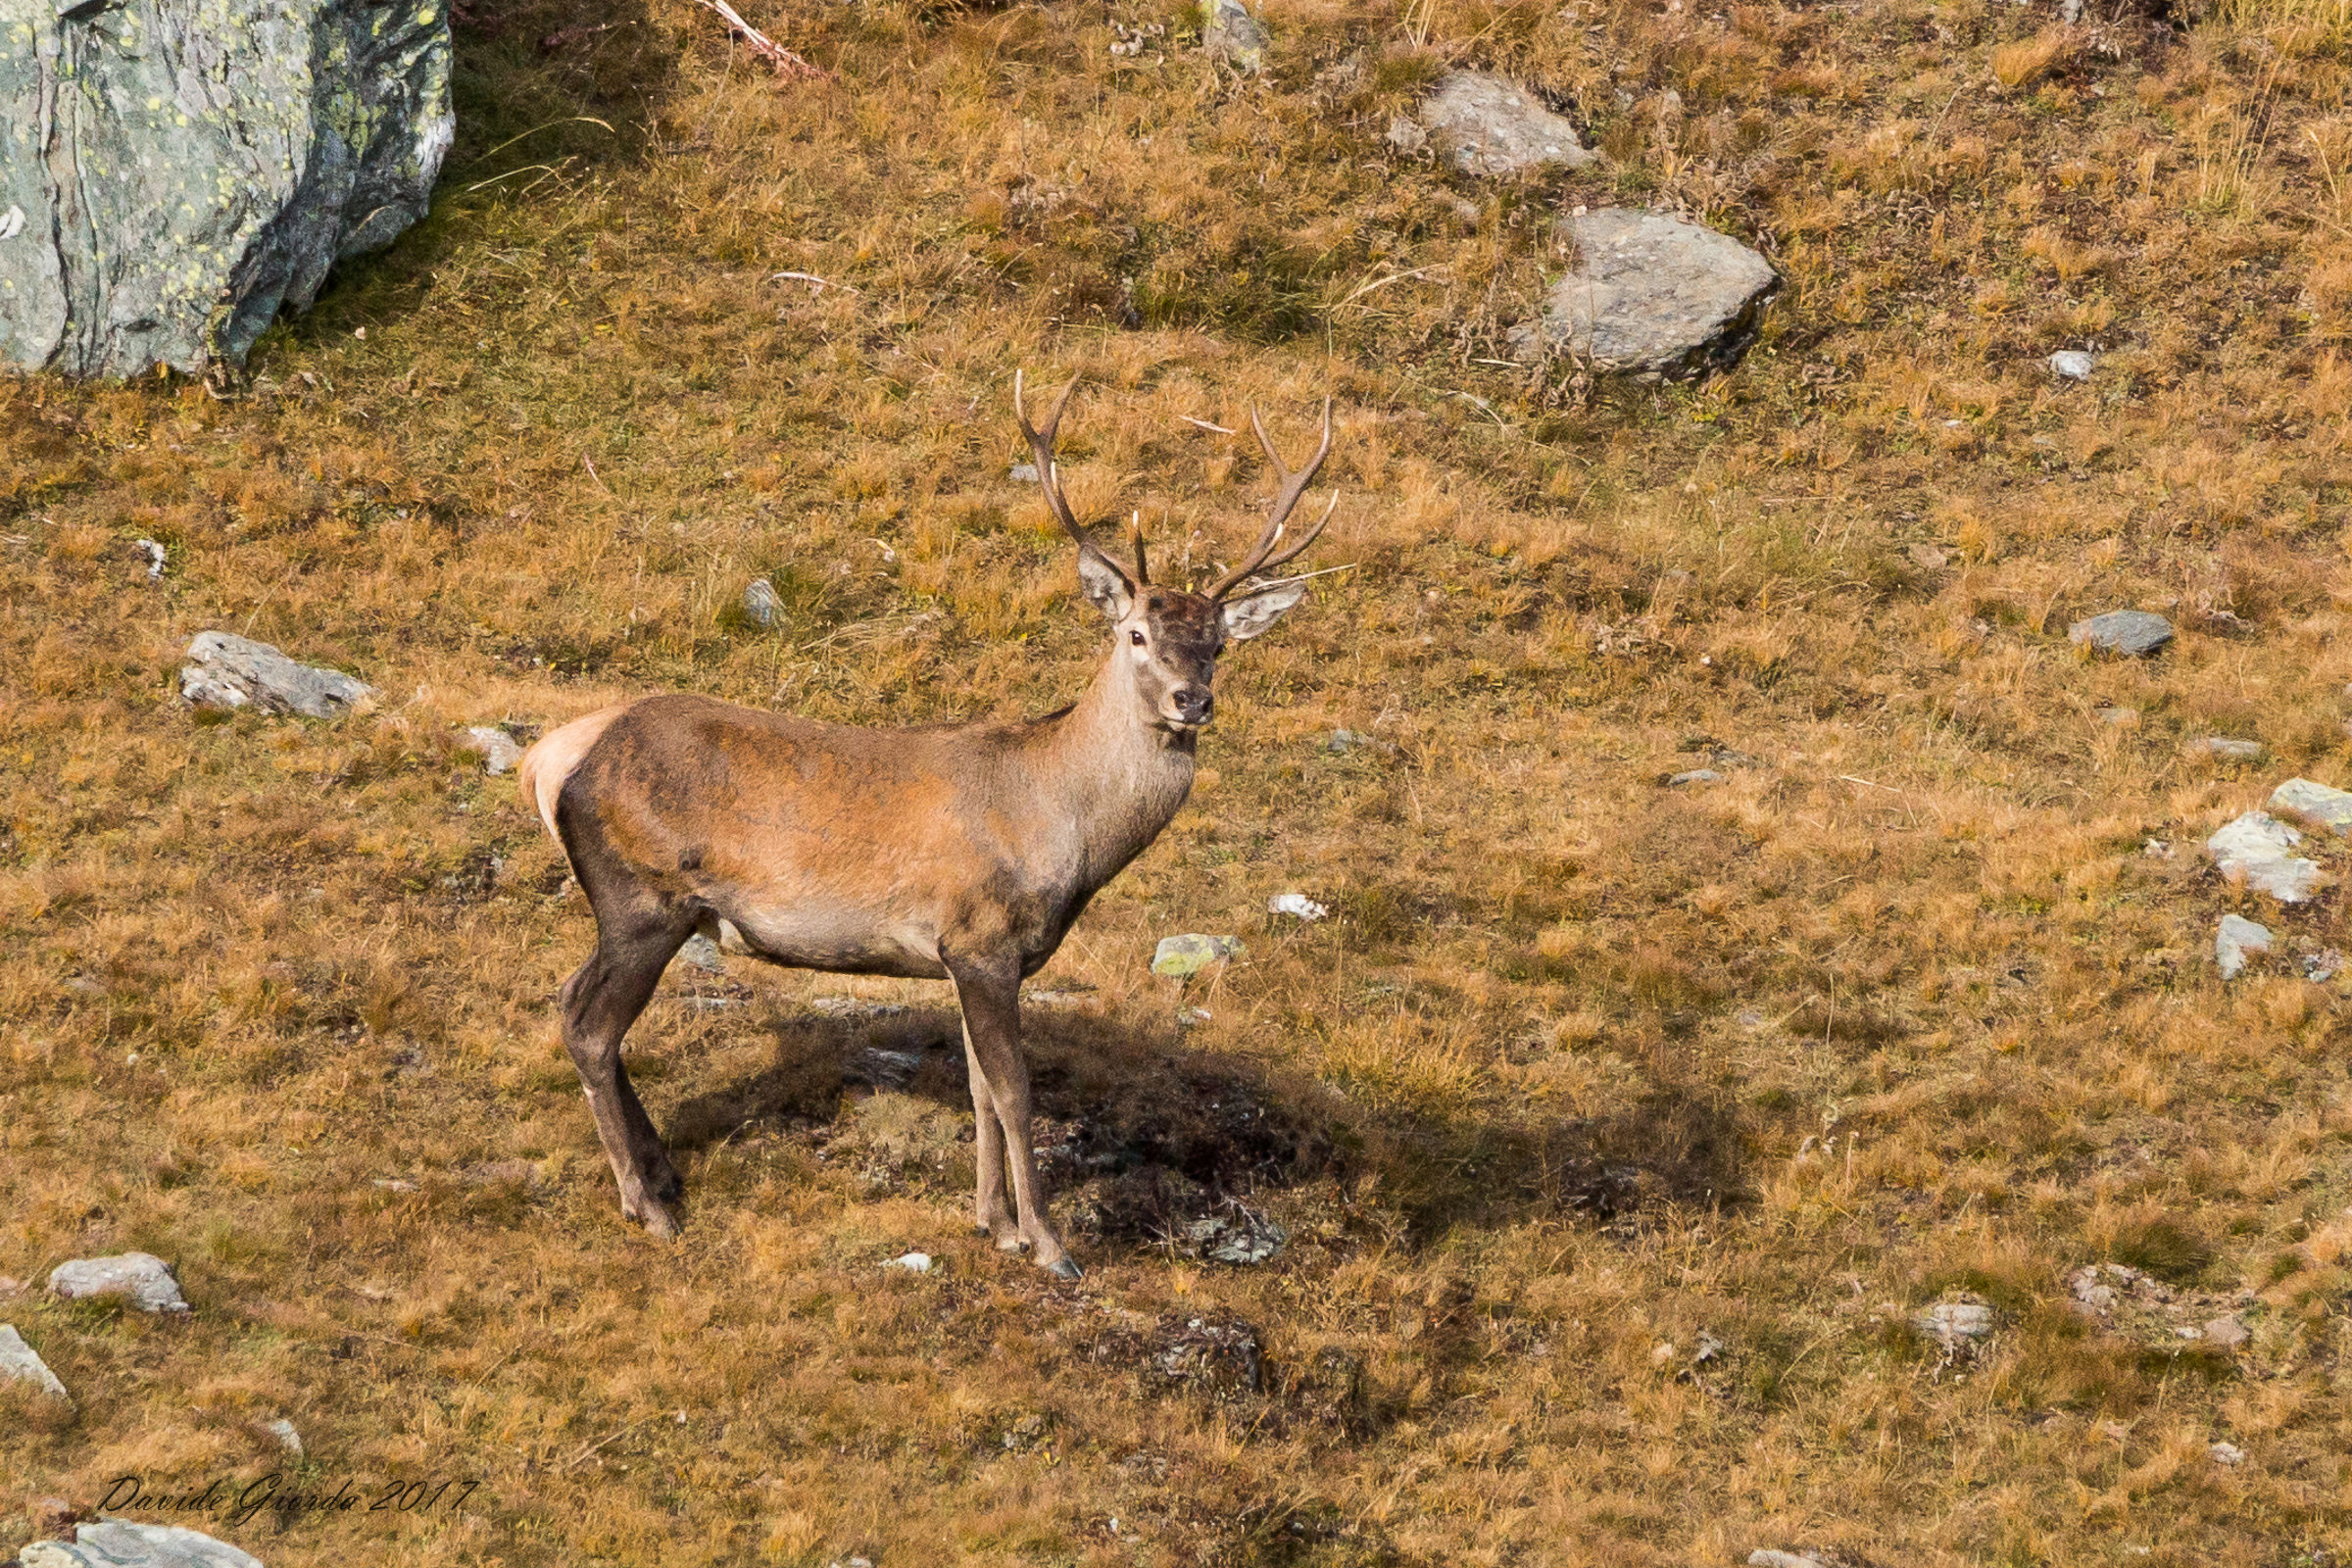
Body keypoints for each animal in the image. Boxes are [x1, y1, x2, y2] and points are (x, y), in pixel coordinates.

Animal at [517, 373, 1336, 1278]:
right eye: (1135, 633)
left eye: (1219, 644)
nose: (1193, 699)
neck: (1065, 829)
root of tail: (551, 758)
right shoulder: (980, 938)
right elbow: (1014, 1089)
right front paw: (1048, 1242)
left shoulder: (968, 957)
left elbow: (978, 1086)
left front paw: (993, 1223)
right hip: (642, 896)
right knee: (588, 1025)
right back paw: (649, 1206)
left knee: (580, 1007)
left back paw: (662, 1174)